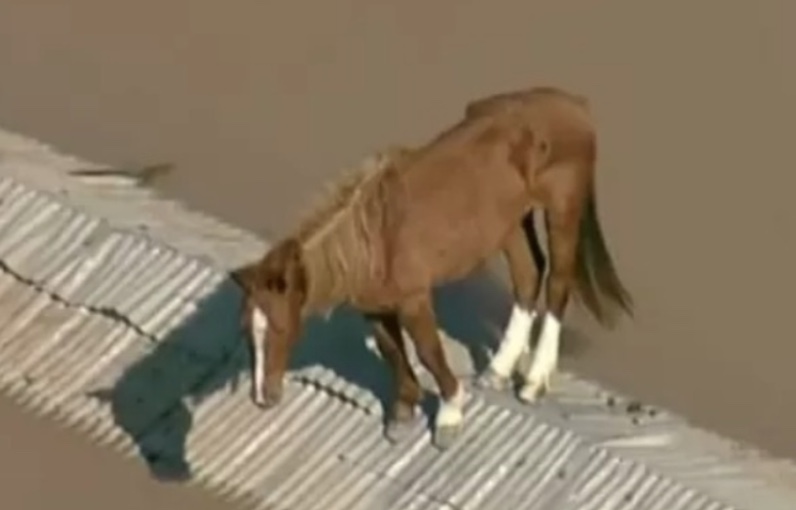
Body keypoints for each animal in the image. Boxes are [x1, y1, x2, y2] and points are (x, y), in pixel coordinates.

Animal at [231, 86, 633, 450]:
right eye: (247, 331)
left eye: (279, 328)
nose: (262, 397)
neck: (373, 240)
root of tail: (574, 103)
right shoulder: (375, 308)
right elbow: (393, 352)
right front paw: (402, 414)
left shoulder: (414, 301)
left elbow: (428, 352)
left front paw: (449, 417)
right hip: (511, 224)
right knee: (528, 276)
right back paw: (497, 371)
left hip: (562, 209)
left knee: (558, 283)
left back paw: (533, 382)